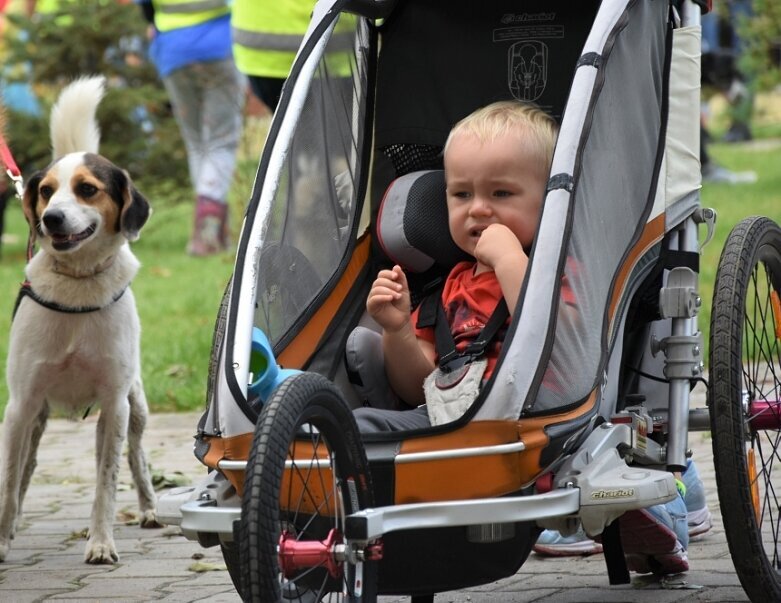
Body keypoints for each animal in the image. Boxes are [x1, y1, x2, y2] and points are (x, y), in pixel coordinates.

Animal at [0, 76, 159, 568]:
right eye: (46, 191)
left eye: (87, 189)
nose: (51, 218)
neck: (79, 283)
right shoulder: (20, 406)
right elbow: (9, 484)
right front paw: (2, 539)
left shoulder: (113, 404)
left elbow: (106, 484)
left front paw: (102, 542)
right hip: (35, 419)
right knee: (26, 469)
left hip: (136, 407)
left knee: (136, 457)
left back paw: (148, 509)